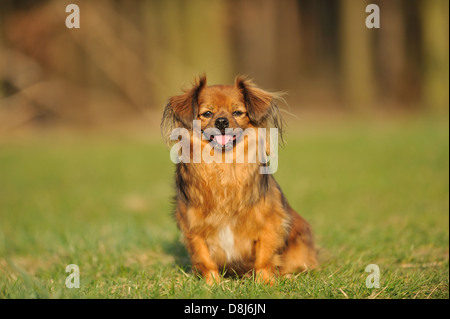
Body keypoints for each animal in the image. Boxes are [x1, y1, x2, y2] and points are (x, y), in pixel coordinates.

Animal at [160, 75, 318, 284]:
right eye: (207, 113)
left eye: (237, 112)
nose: (221, 121)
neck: (224, 164)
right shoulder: (193, 228)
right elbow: (204, 258)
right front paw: (212, 284)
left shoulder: (269, 223)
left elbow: (264, 257)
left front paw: (264, 283)